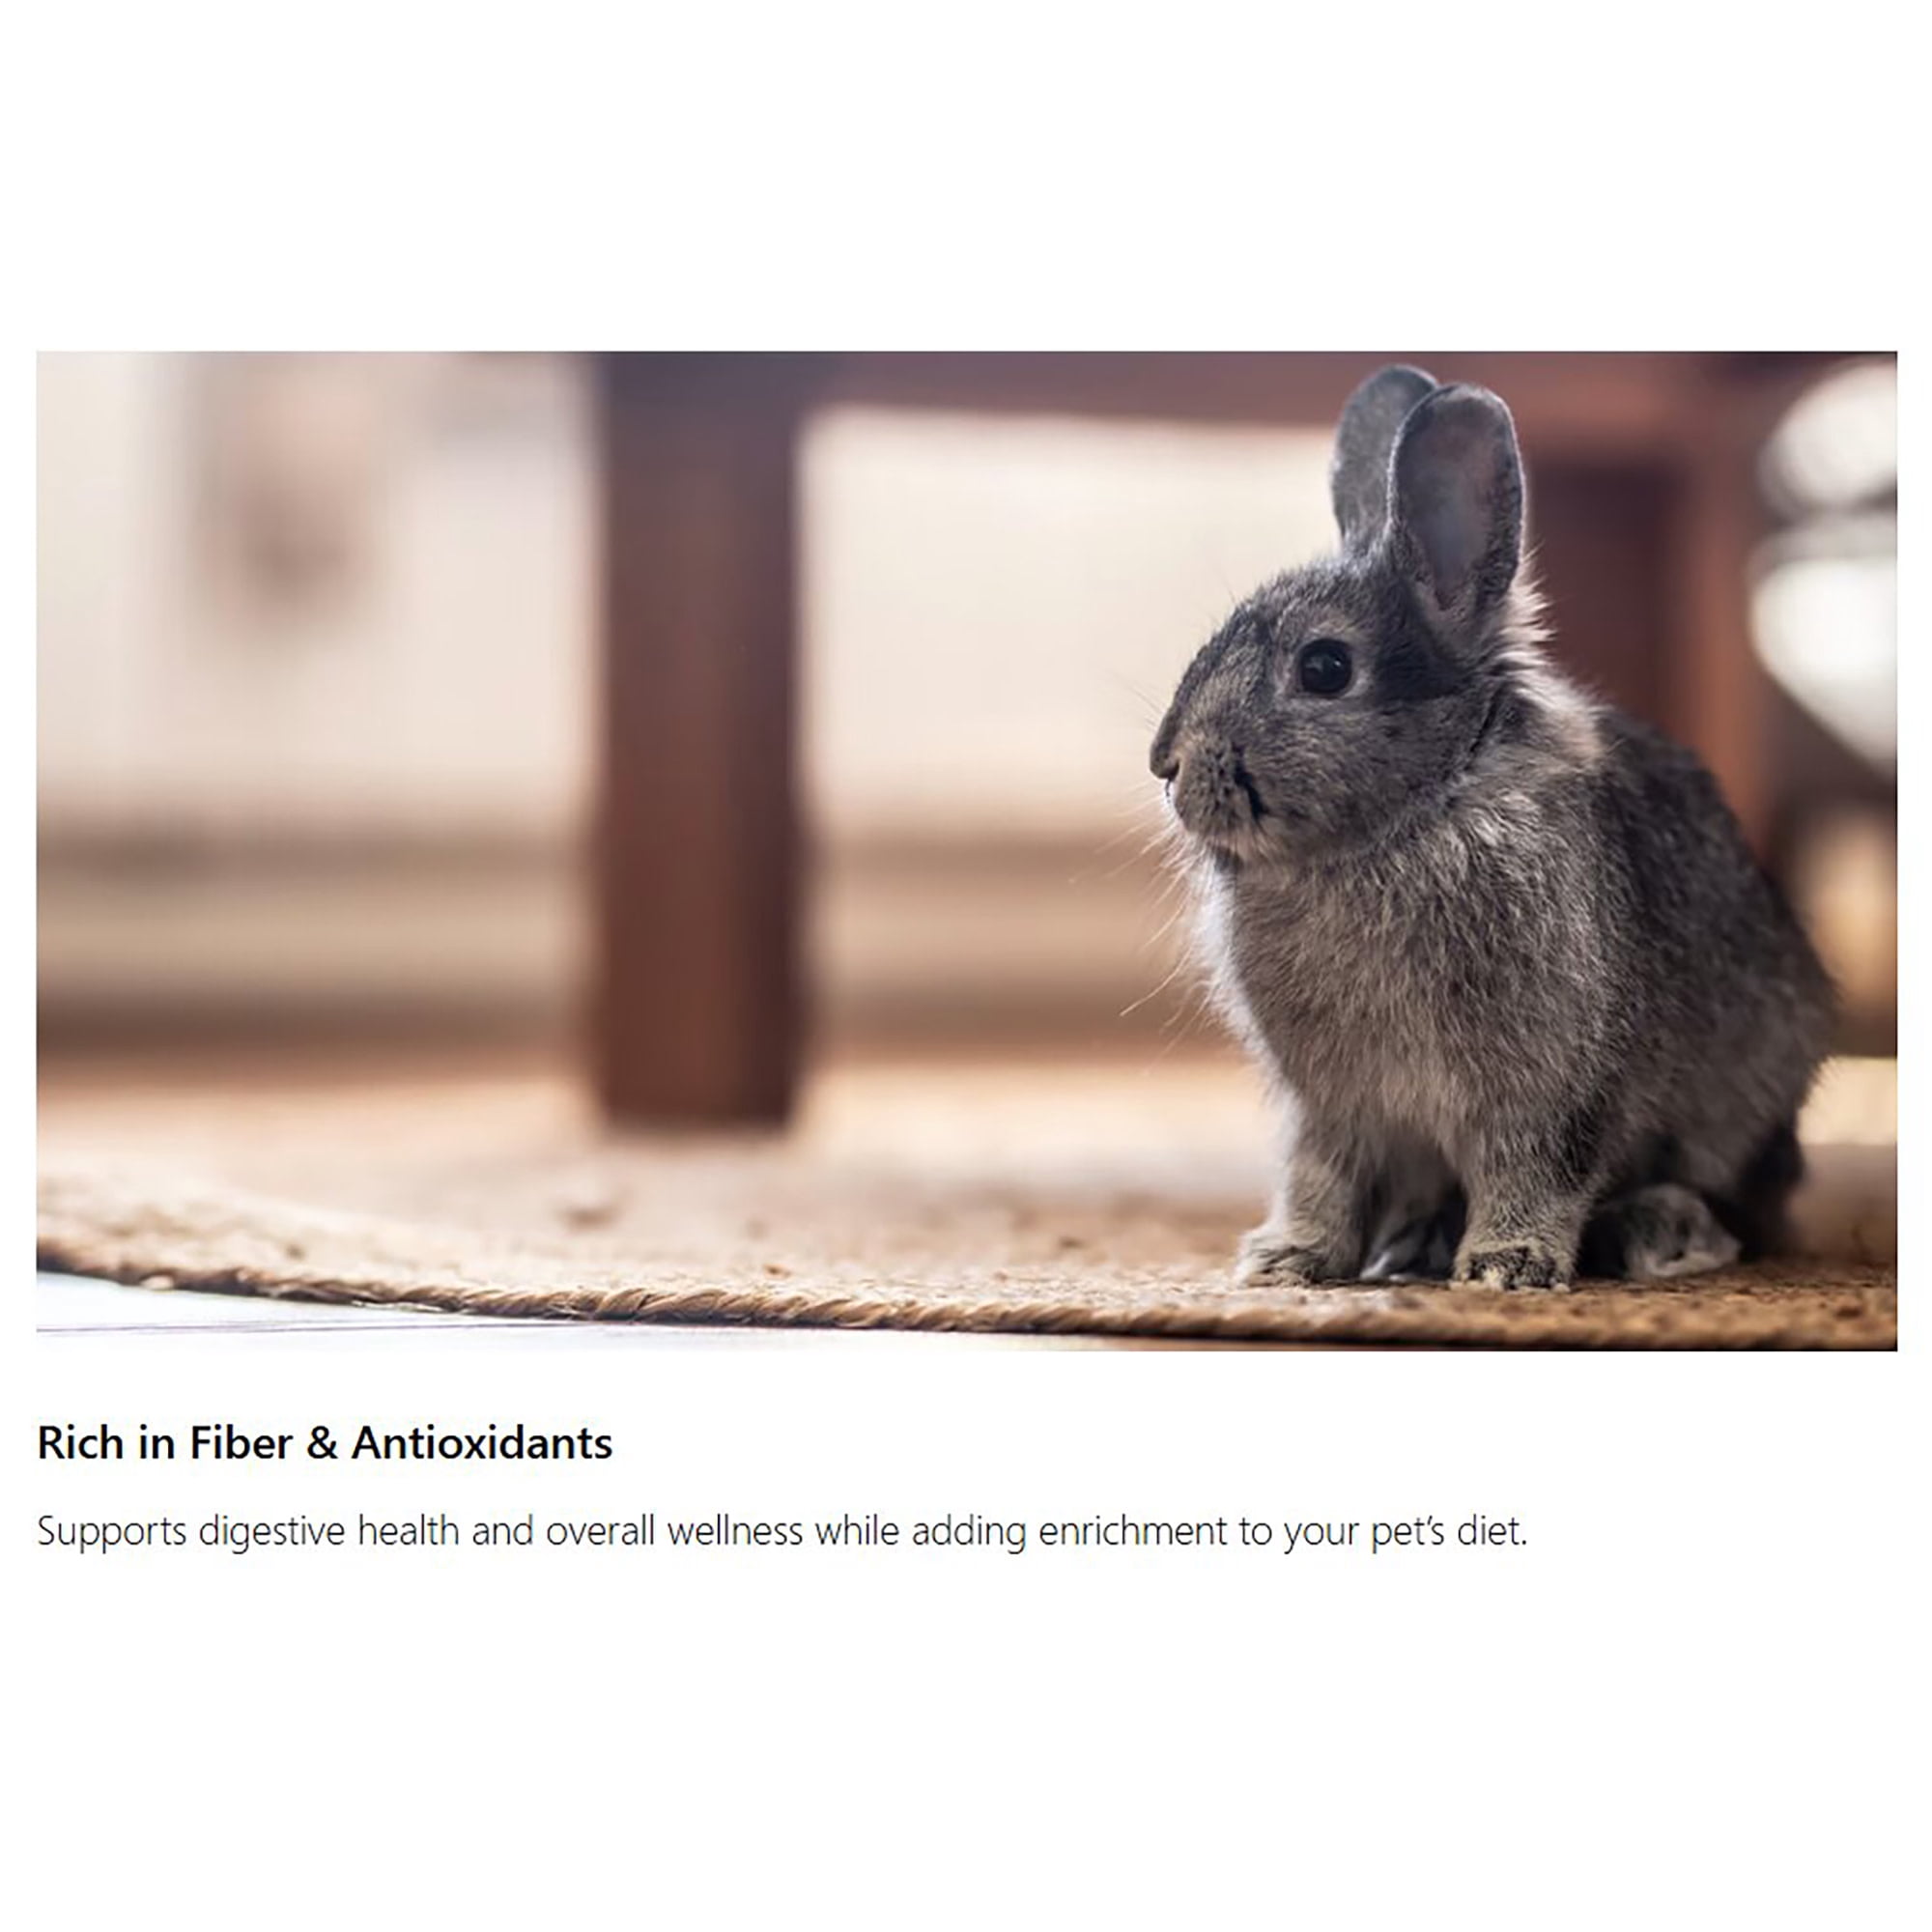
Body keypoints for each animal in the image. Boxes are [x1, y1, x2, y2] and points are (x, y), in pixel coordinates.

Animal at [1149, 364, 1834, 1291]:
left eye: (1325, 667)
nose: (1167, 764)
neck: (1416, 810)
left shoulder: (1551, 1087)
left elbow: (1534, 1171)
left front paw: (1506, 1269)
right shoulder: (1333, 1108)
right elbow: (1320, 1178)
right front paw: (1288, 1261)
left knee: (1739, 1205)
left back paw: (1661, 1234)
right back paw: (1414, 1243)